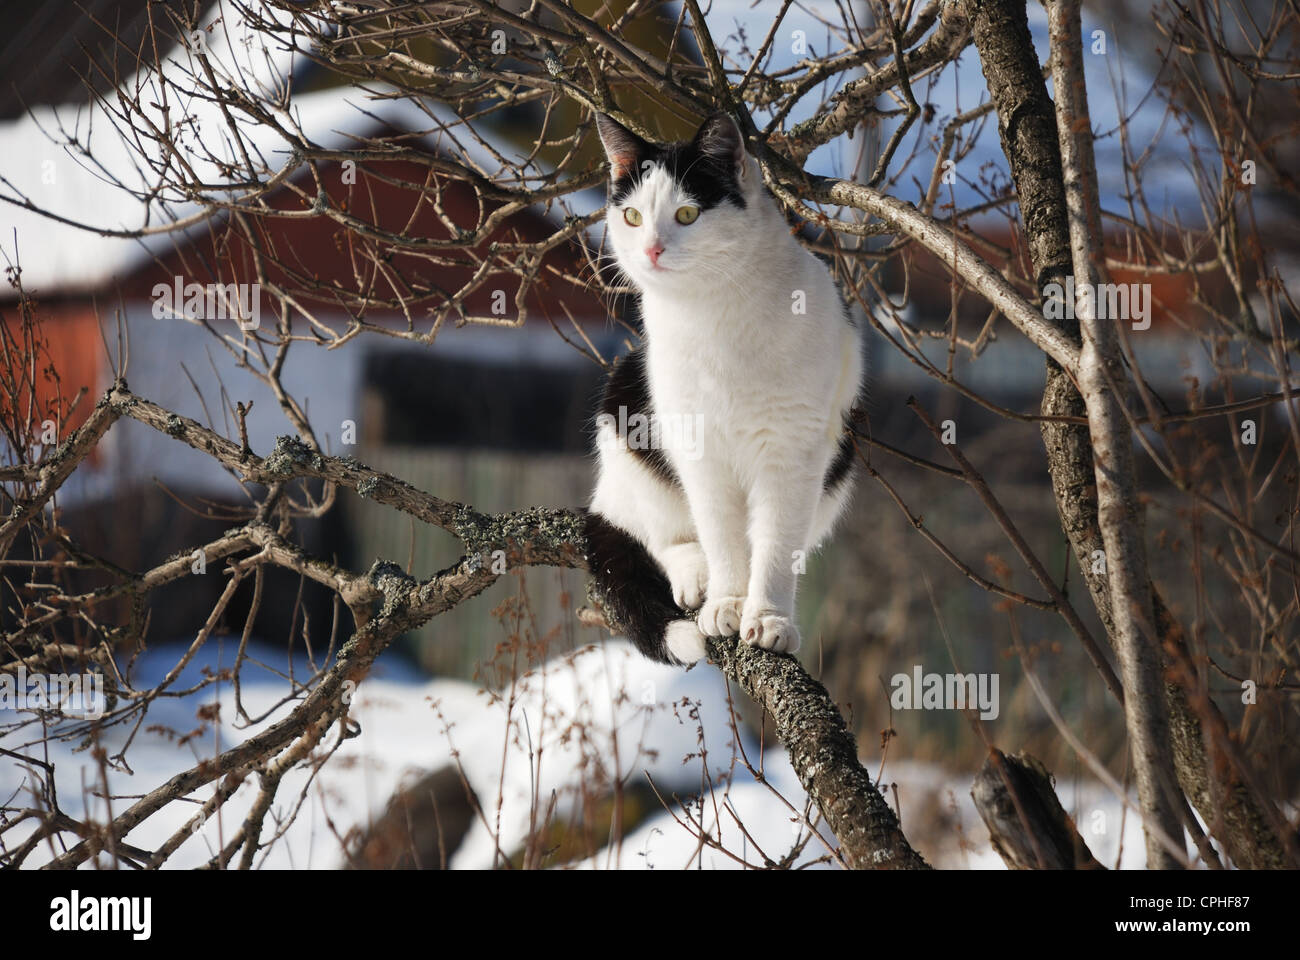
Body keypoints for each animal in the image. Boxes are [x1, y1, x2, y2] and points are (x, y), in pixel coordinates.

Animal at [585, 111, 868, 660]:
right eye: (632, 217)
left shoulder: (792, 450)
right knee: (663, 538)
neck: (713, 314)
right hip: (623, 410)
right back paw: (697, 578)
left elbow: (775, 545)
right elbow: (720, 533)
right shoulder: (698, 448)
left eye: (688, 214)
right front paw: (726, 603)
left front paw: (769, 619)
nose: (651, 249)